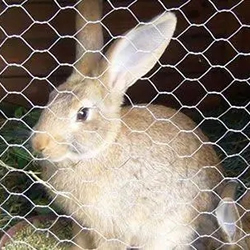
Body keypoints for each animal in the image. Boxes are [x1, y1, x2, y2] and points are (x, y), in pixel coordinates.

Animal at [30, 0, 224, 249]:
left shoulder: (112, 230)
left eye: (82, 114)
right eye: (51, 97)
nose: (39, 143)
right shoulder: (81, 224)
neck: (99, 151)